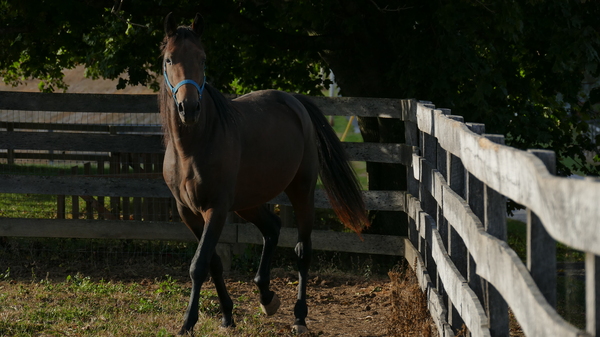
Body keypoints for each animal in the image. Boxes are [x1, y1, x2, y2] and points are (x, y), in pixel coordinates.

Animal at [157, 12, 368, 334]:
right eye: (169, 59)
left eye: (203, 59)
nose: (189, 108)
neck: (193, 147)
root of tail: (295, 101)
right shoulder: (188, 212)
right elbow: (213, 262)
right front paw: (227, 316)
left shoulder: (216, 210)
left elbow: (199, 264)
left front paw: (188, 323)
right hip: (248, 202)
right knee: (272, 227)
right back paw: (267, 296)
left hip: (301, 191)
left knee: (302, 251)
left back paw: (299, 317)